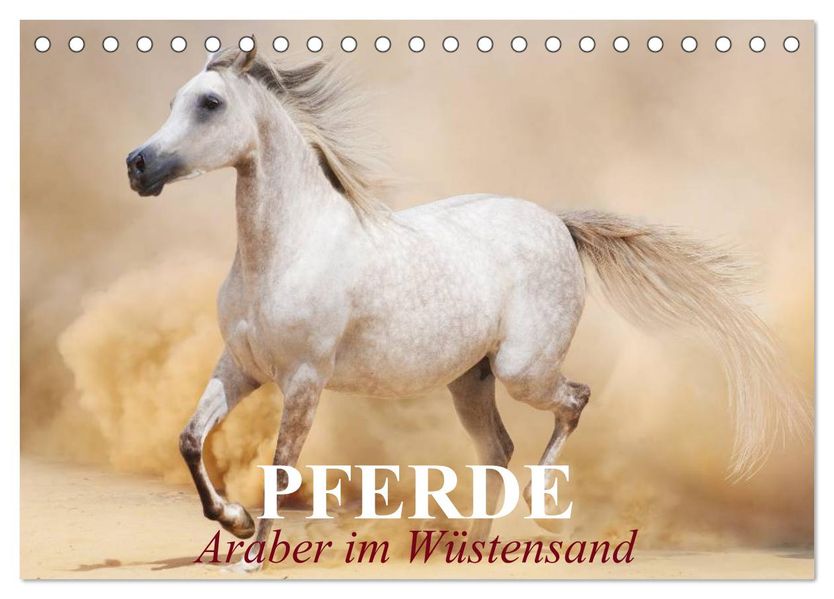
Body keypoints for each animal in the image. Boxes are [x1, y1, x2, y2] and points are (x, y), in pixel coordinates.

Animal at [126, 45, 807, 571]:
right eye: (173, 101)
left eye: (210, 104)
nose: (138, 165)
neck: (288, 248)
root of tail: (558, 223)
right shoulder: (241, 368)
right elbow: (190, 440)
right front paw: (235, 521)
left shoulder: (303, 380)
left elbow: (281, 466)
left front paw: (254, 554)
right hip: (469, 381)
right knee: (498, 448)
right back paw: (472, 547)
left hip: (522, 371)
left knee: (573, 402)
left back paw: (542, 513)